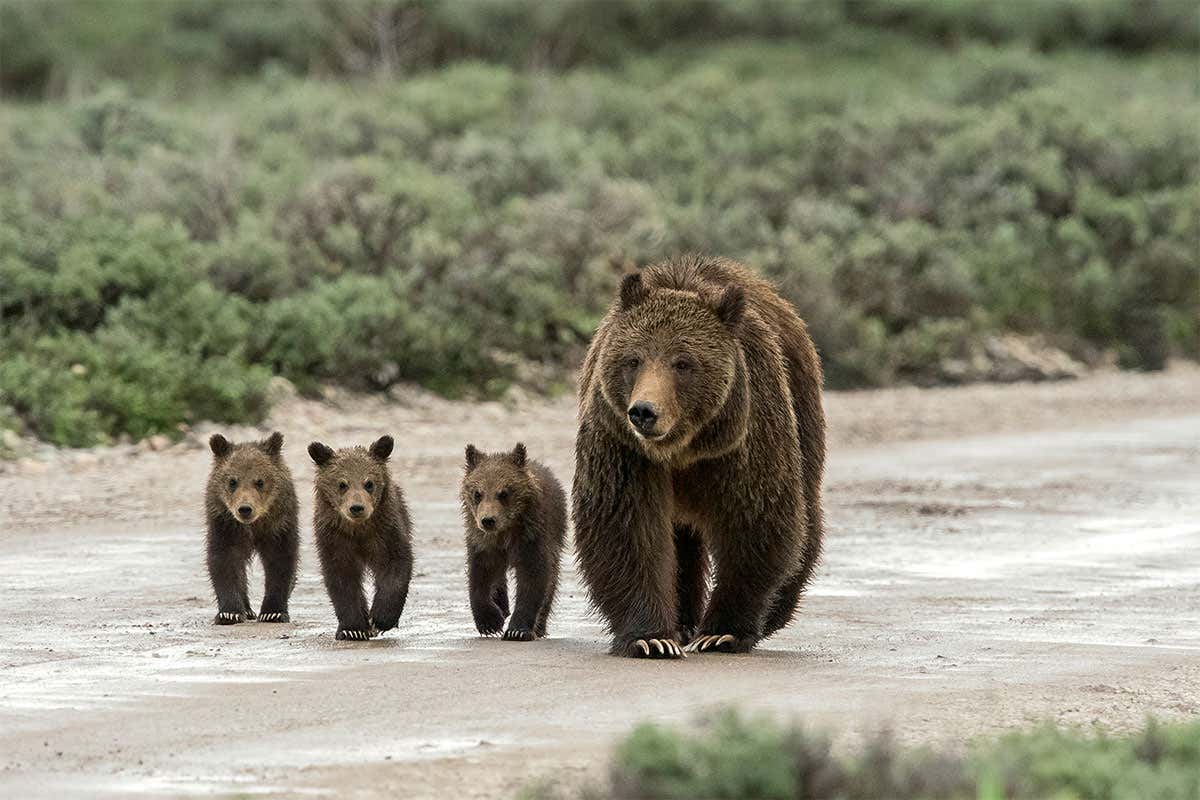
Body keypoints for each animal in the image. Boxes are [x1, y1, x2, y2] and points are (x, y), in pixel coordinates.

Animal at [205, 431, 299, 625]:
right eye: (232, 481)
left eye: (260, 481)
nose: (245, 509)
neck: (254, 525)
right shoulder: (225, 523)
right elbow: (224, 559)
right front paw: (229, 613)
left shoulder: (279, 525)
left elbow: (281, 561)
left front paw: (273, 612)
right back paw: (247, 610)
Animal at [308, 435, 414, 641]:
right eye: (342, 484)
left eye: (369, 483)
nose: (356, 507)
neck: (358, 529)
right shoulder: (335, 538)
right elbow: (341, 577)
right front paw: (353, 628)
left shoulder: (385, 531)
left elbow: (395, 565)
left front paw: (380, 619)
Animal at [459, 443, 567, 641]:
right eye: (477, 493)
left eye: (504, 493)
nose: (488, 520)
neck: (505, 531)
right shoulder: (483, 542)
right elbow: (481, 575)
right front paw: (490, 622)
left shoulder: (531, 537)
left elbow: (533, 577)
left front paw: (517, 630)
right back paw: (502, 605)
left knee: (552, 578)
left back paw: (540, 626)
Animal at [572, 254, 826, 659]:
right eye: (633, 359)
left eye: (683, 362)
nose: (644, 412)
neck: (682, 448)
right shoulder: (622, 445)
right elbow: (626, 526)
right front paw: (651, 638)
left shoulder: (743, 441)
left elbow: (755, 519)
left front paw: (722, 632)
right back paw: (682, 621)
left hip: (802, 408)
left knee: (805, 510)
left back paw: (776, 611)